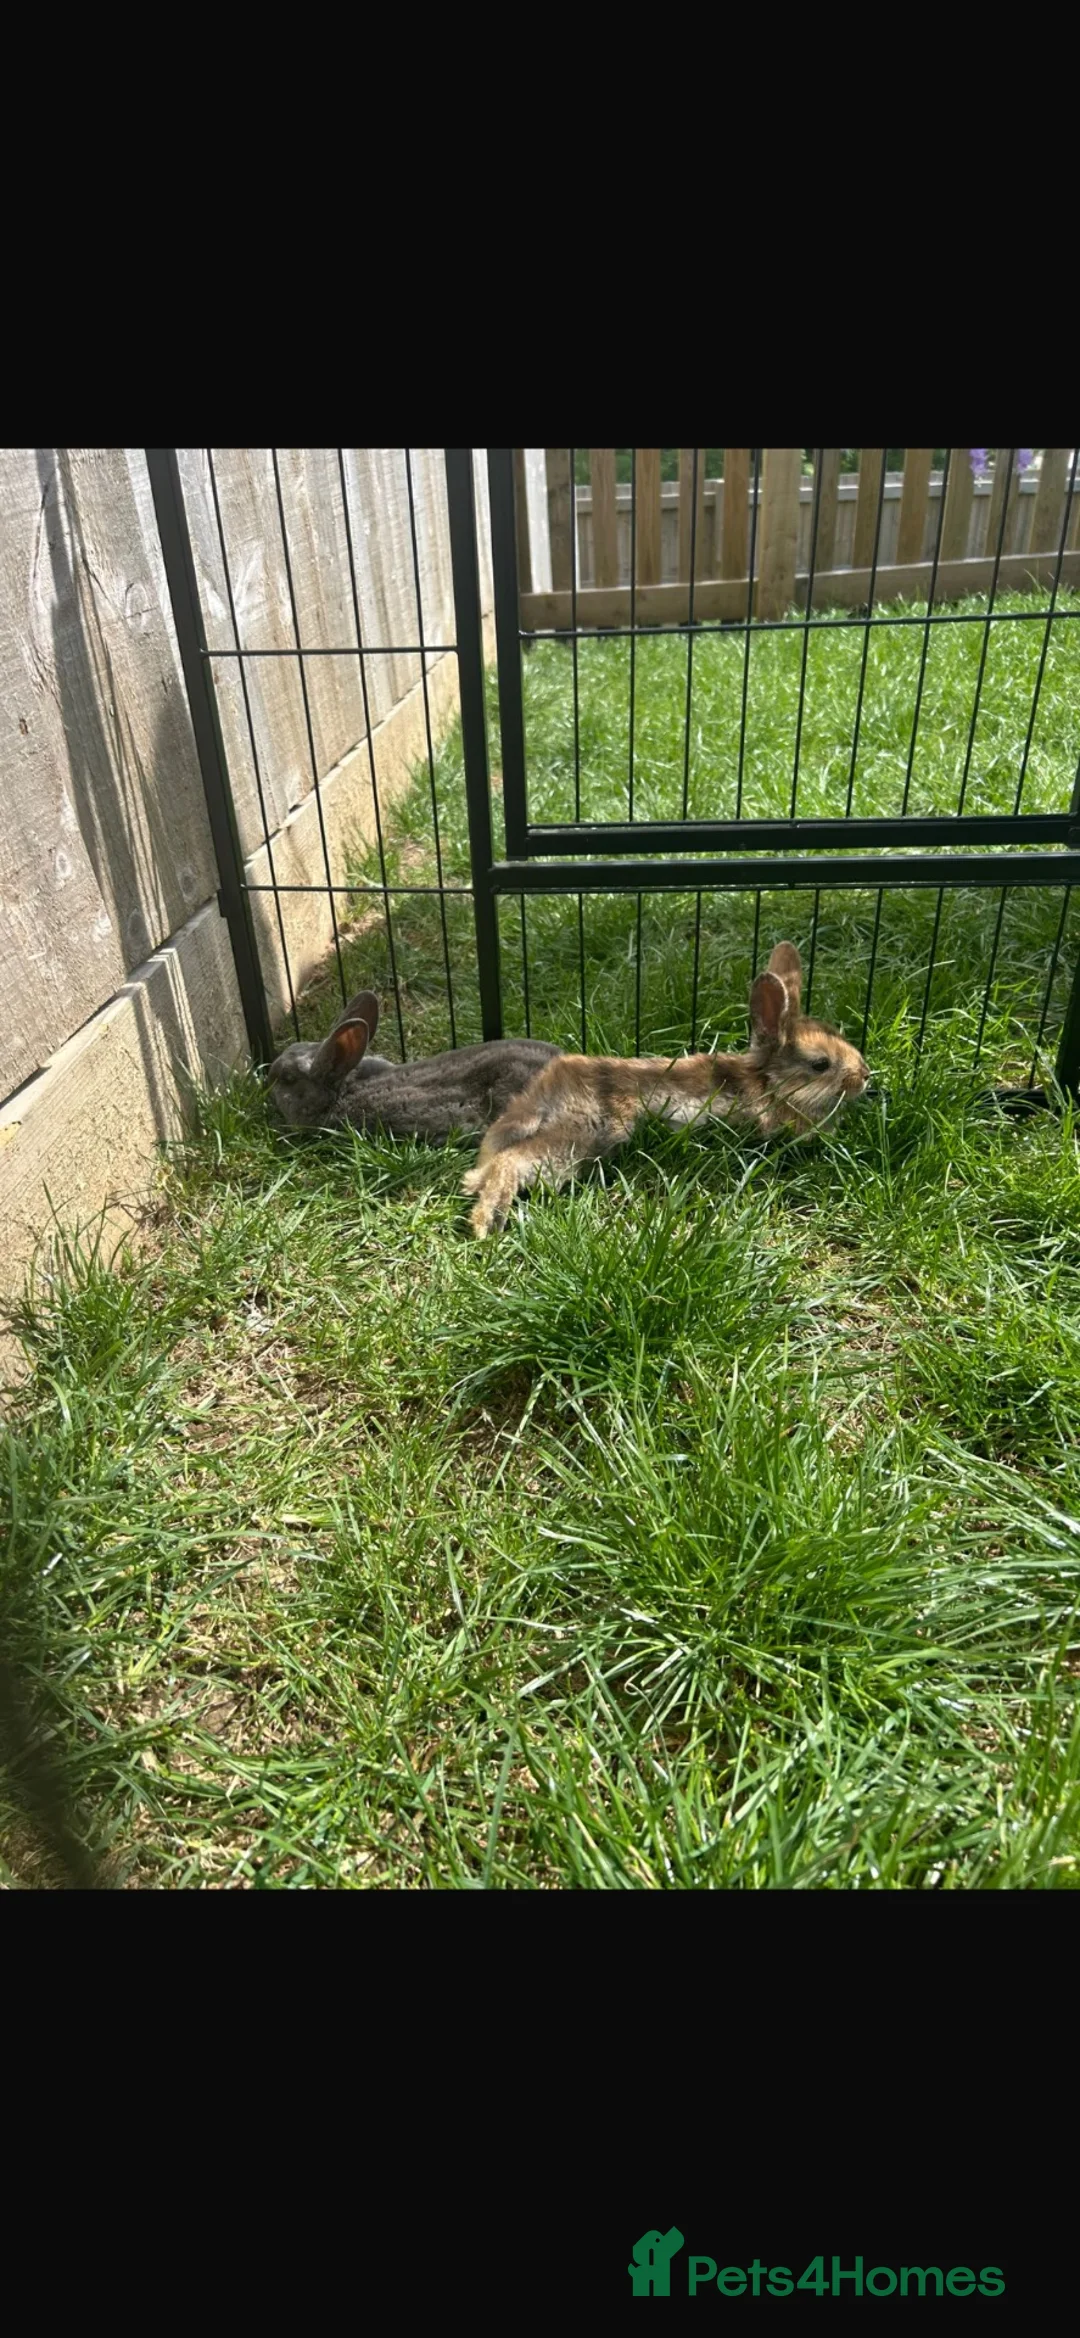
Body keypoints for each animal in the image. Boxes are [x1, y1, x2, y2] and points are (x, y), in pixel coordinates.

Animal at [463, 942, 874, 1238]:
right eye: (820, 1065)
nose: (865, 1076)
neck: (770, 1084)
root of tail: (547, 1089)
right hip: (576, 1139)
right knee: (512, 1161)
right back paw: (487, 1225)